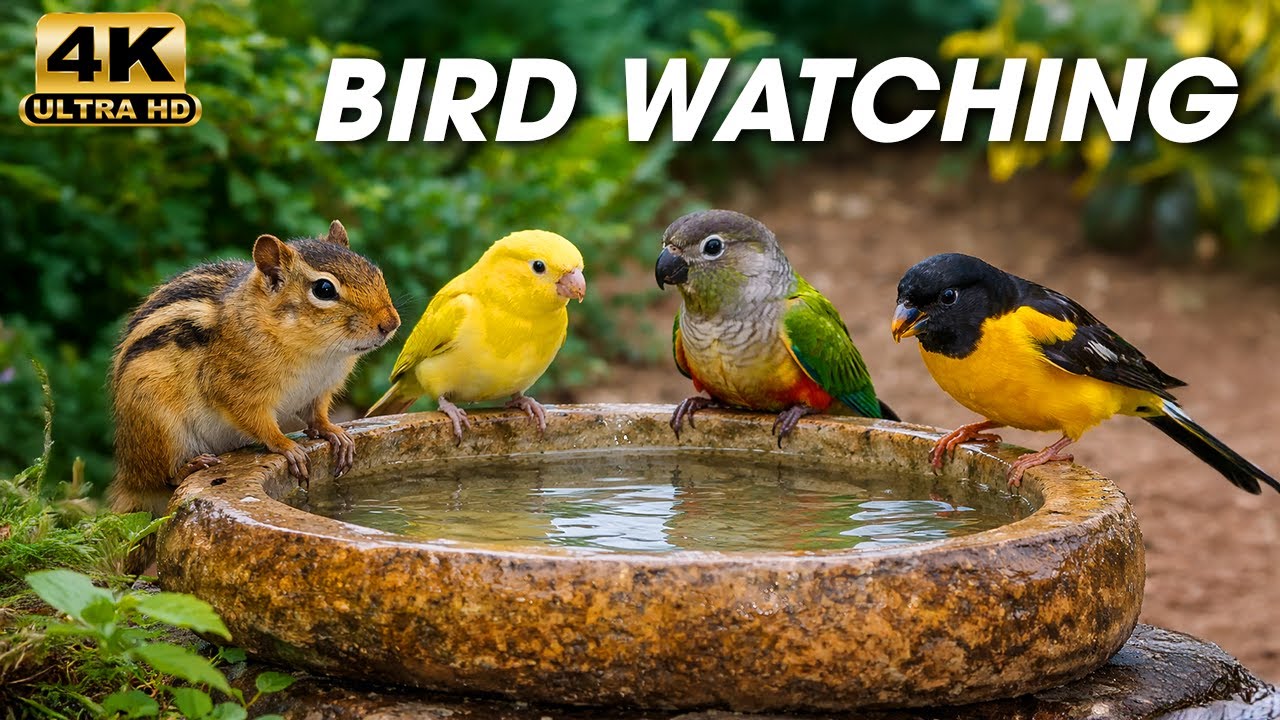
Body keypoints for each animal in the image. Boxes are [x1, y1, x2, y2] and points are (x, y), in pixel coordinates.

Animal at [108, 220, 401, 517]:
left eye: (375, 271)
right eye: (324, 290)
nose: (391, 323)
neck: (319, 356)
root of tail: (128, 476)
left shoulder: (319, 390)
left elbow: (317, 414)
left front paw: (335, 433)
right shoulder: (236, 389)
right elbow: (258, 422)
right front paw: (288, 447)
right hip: (159, 426)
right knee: (160, 479)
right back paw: (189, 467)